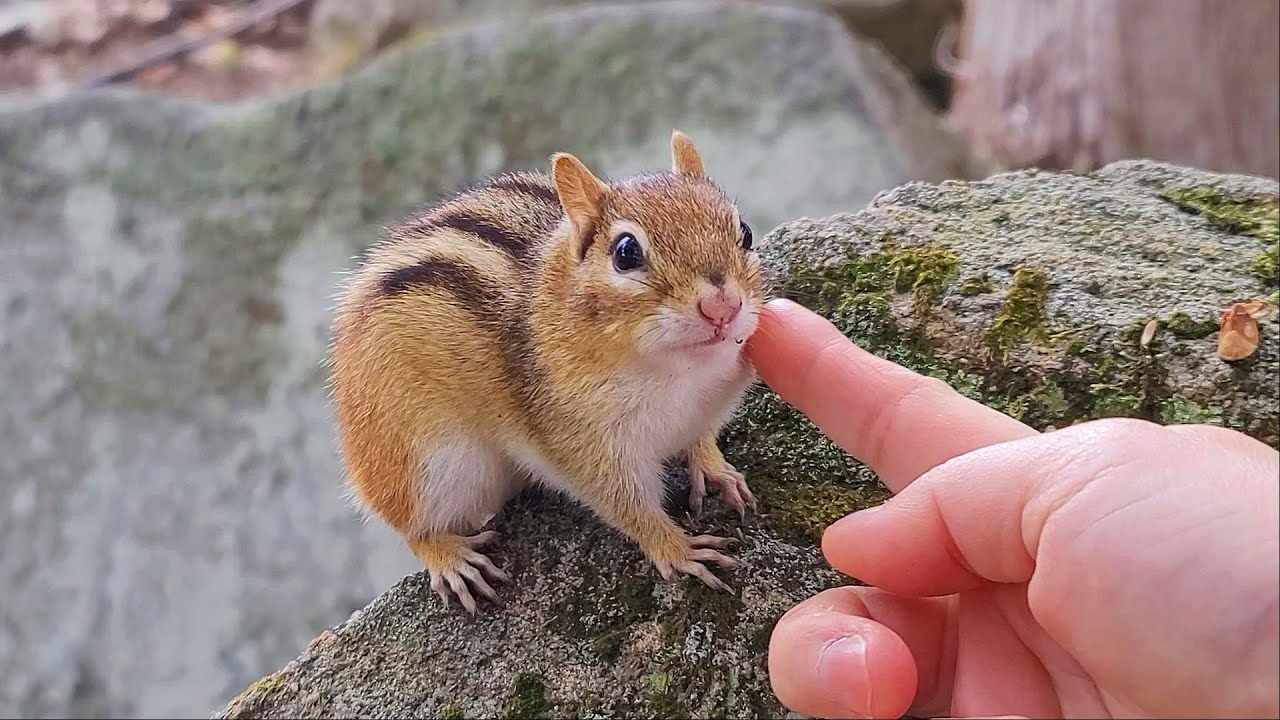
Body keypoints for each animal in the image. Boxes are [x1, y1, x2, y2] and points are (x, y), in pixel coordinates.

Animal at [328, 131, 764, 613]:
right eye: (626, 252)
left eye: (745, 232)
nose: (722, 307)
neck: (680, 373)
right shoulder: (586, 448)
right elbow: (630, 508)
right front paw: (680, 550)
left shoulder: (705, 411)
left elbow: (702, 442)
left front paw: (717, 470)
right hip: (428, 468)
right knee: (412, 527)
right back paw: (449, 557)